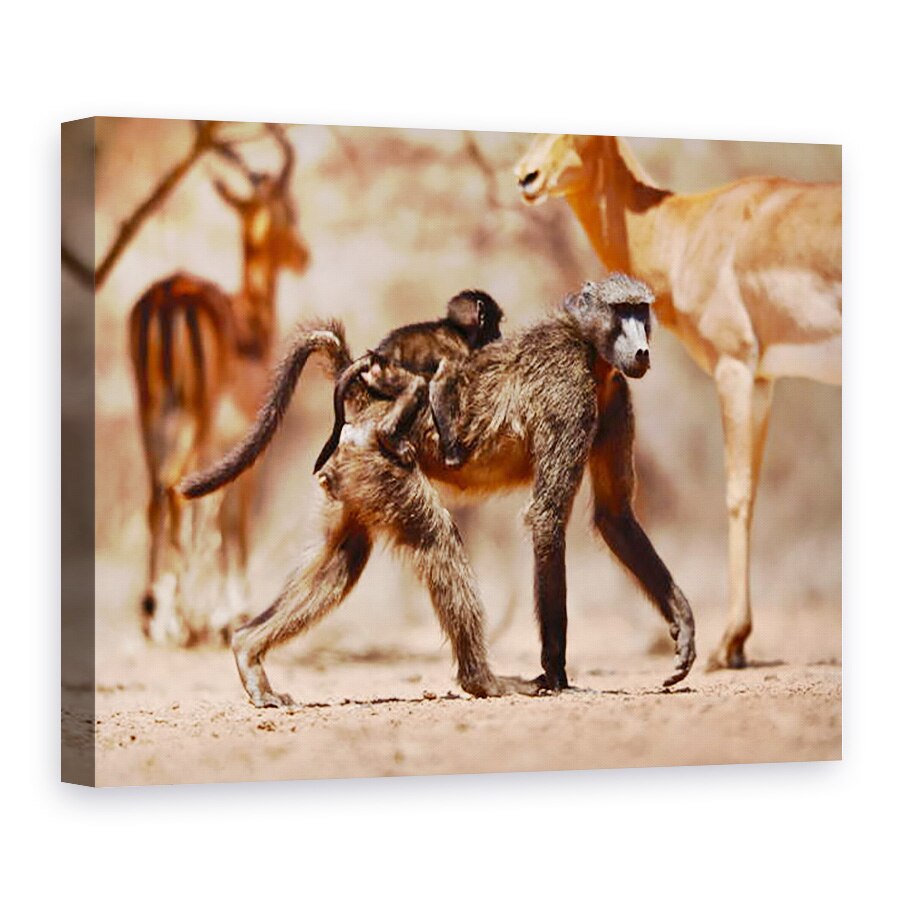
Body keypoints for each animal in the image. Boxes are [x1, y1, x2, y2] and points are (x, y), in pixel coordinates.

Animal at [129, 124, 310, 645]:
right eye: (289, 208)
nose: (303, 255)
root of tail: (168, 296)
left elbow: (208, 516)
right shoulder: (243, 437)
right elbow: (231, 517)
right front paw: (231, 613)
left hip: (150, 407)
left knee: (155, 493)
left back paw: (153, 616)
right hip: (195, 414)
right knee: (172, 489)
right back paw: (172, 621)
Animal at [514, 134, 841, 669]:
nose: (527, 176)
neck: (687, 231)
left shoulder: (734, 367)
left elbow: (737, 494)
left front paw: (730, 642)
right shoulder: (763, 379)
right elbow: (749, 491)